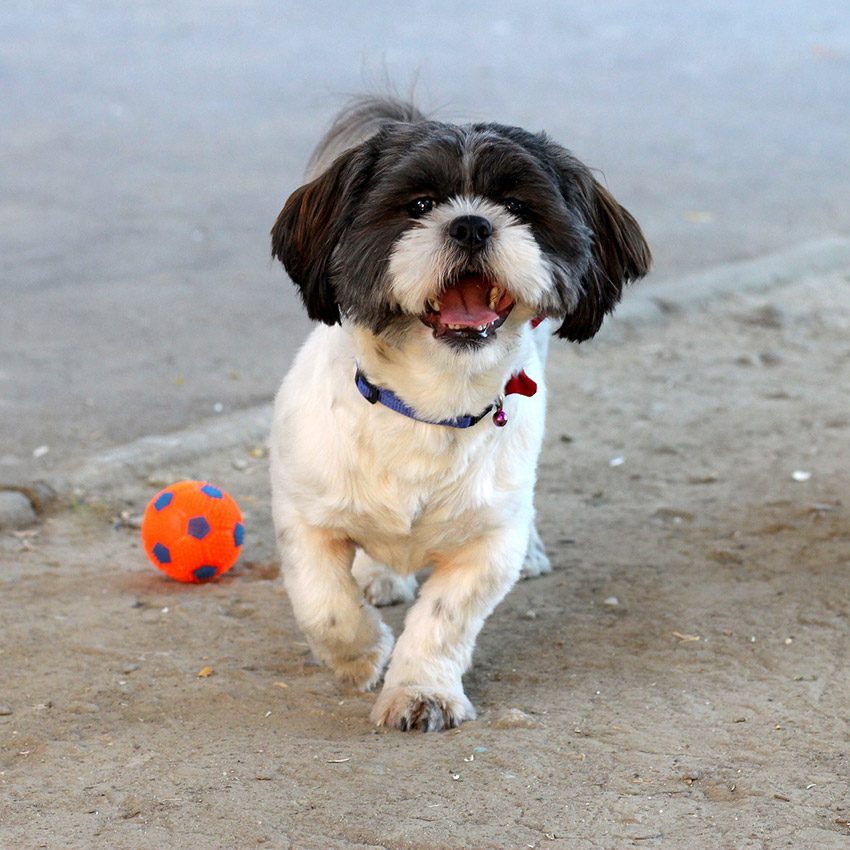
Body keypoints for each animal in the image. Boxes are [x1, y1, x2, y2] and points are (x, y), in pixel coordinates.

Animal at [266, 94, 648, 728]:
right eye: (420, 205)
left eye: (516, 206)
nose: (472, 222)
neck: (430, 406)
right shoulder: (304, 516)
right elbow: (325, 606)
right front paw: (362, 655)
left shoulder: (488, 545)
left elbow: (444, 620)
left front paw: (422, 690)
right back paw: (378, 574)